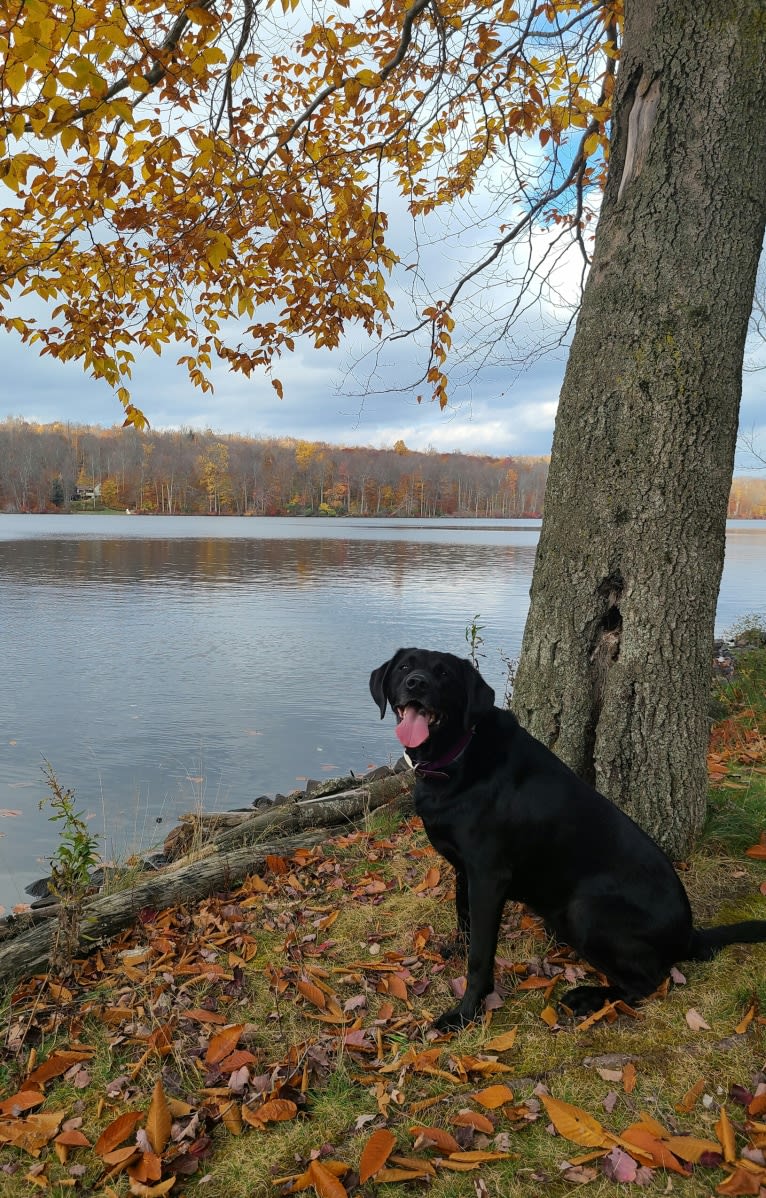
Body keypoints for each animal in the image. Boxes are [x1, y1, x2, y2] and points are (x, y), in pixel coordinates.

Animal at [371, 646, 766, 1030]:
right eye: (405, 667)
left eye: (443, 674)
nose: (416, 683)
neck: (457, 758)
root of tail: (688, 934)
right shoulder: (463, 869)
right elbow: (463, 916)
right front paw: (457, 949)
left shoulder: (488, 875)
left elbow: (481, 955)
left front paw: (465, 1013)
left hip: (584, 910)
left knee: (649, 981)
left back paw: (588, 998)